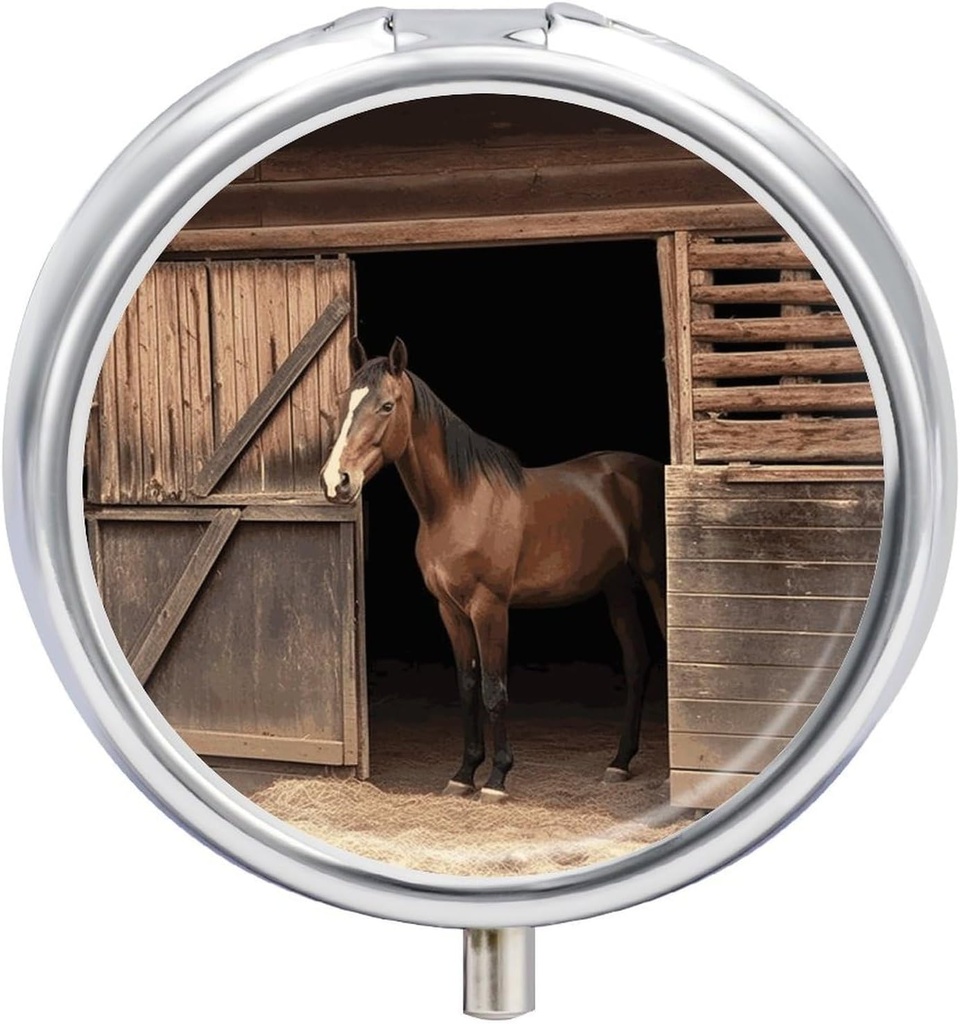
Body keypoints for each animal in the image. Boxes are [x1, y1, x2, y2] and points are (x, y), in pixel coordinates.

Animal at [321, 337, 666, 802]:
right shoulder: (450, 609)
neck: (460, 502)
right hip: (618, 588)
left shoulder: (490, 608)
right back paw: (620, 762)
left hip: (657, 582)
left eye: (387, 406)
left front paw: (497, 779)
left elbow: (493, 688)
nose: (336, 481)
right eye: (344, 403)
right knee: (636, 662)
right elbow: (468, 687)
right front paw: (464, 773)